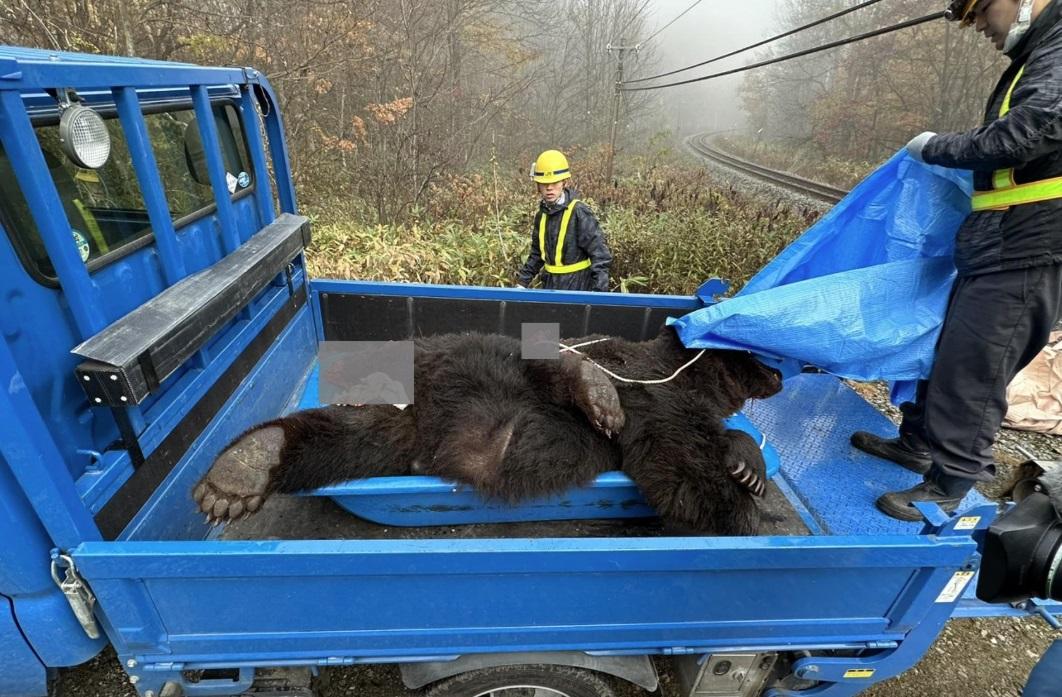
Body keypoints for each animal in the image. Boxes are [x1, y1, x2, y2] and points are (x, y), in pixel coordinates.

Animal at [192, 325, 783, 535]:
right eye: (769, 357)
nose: (782, 374)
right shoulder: (658, 395)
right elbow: (683, 462)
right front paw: (743, 511)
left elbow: (717, 445)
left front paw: (748, 467)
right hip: (475, 354)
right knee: (546, 357)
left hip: (398, 429)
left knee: (347, 435)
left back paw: (242, 469)